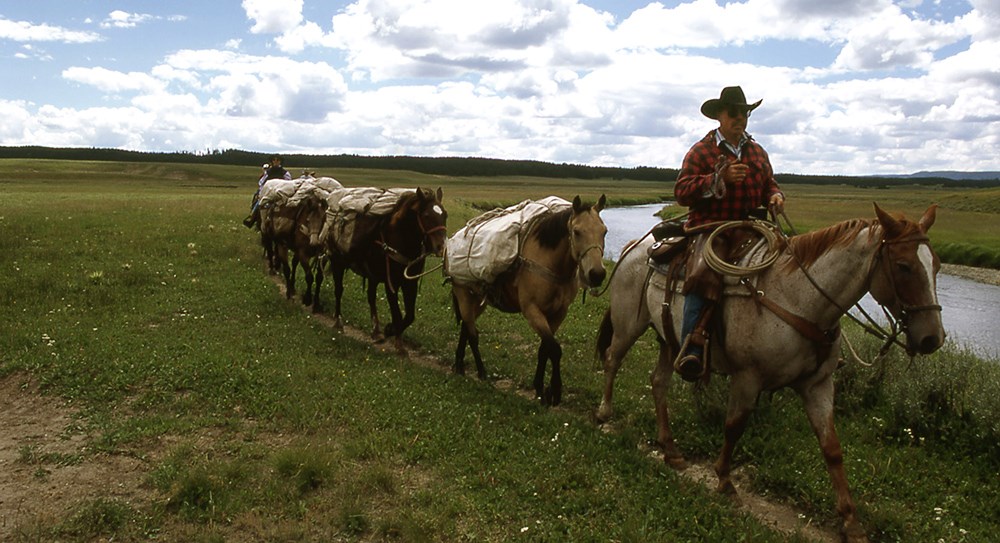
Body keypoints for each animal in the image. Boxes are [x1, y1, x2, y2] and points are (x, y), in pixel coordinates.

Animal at [326, 187, 448, 352]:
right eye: (427, 215)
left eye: (445, 215)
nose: (442, 248)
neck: (401, 241)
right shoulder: (392, 283)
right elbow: (397, 313)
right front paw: (394, 337)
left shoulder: (410, 283)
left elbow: (410, 316)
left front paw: (392, 333)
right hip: (337, 263)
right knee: (339, 290)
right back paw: (338, 322)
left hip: (372, 276)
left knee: (371, 297)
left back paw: (376, 331)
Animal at [452, 194, 608, 404]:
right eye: (576, 232)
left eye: (604, 231)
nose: (597, 274)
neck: (549, 262)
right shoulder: (532, 311)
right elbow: (555, 349)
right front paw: (554, 391)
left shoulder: (558, 314)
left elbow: (544, 349)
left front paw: (540, 389)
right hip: (463, 294)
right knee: (472, 334)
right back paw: (481, 372)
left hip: (477, 300)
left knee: (465, 329)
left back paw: (459, 366)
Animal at [592, 205, 944, 543]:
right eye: (903, 266)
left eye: (937, 266)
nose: (932, 338)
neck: (799, 298)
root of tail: (636, 247)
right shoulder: (748, 378)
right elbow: (734, 426)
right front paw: (725, 481)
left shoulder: (818, 385)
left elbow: (832, 449)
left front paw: (851, 521)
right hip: (629, 326)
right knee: (612, 360)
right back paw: (604, 413)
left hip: (669, 340)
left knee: (658, 382)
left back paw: (671, 449)